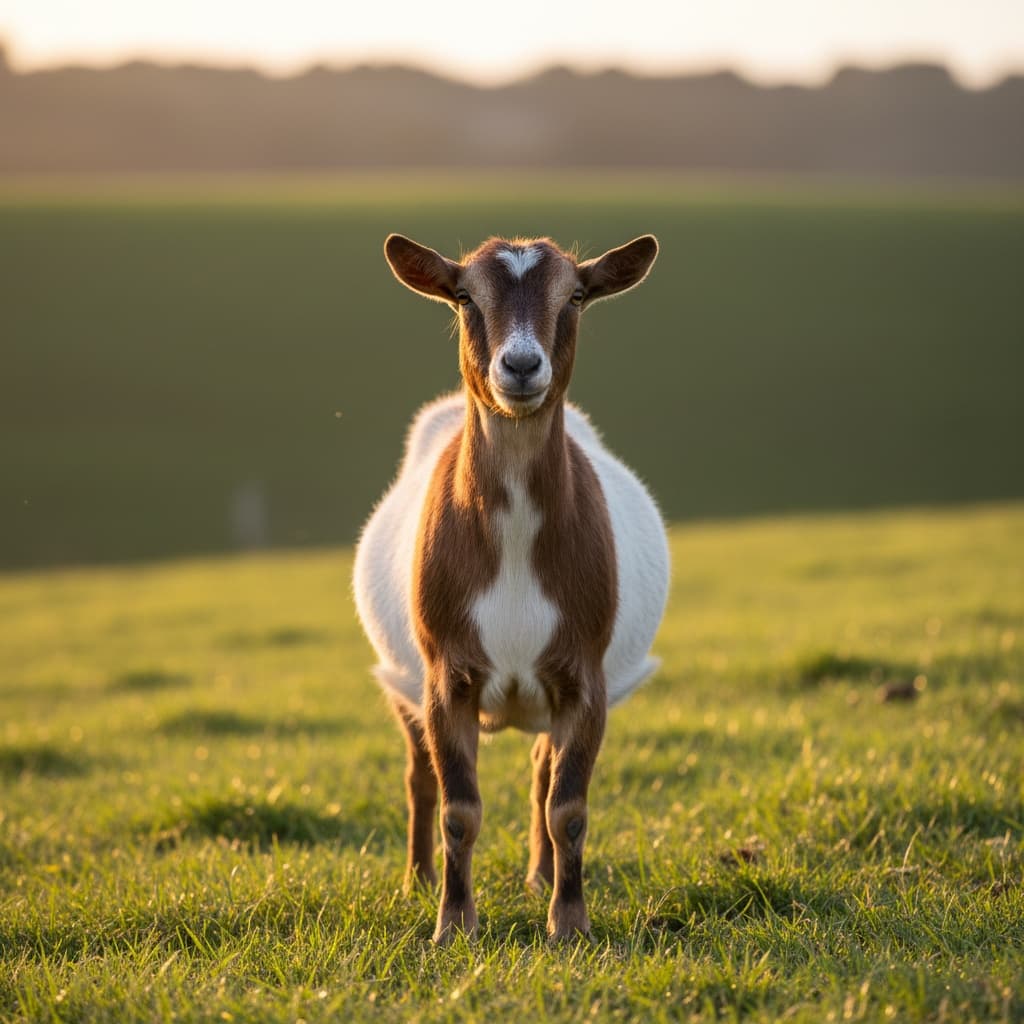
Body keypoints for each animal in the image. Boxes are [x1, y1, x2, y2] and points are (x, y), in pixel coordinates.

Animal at [353, 233, 670, 942]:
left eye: (575, 295)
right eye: (464, 295)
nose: (521, 366)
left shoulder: (584, 676)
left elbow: (568, 808)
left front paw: (570, 925)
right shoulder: (447, 675)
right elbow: (458, 809)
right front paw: (452, 927)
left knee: (541, 773)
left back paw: (541, 878)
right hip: (402, 678)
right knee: (418, 776)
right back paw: (417, 881)